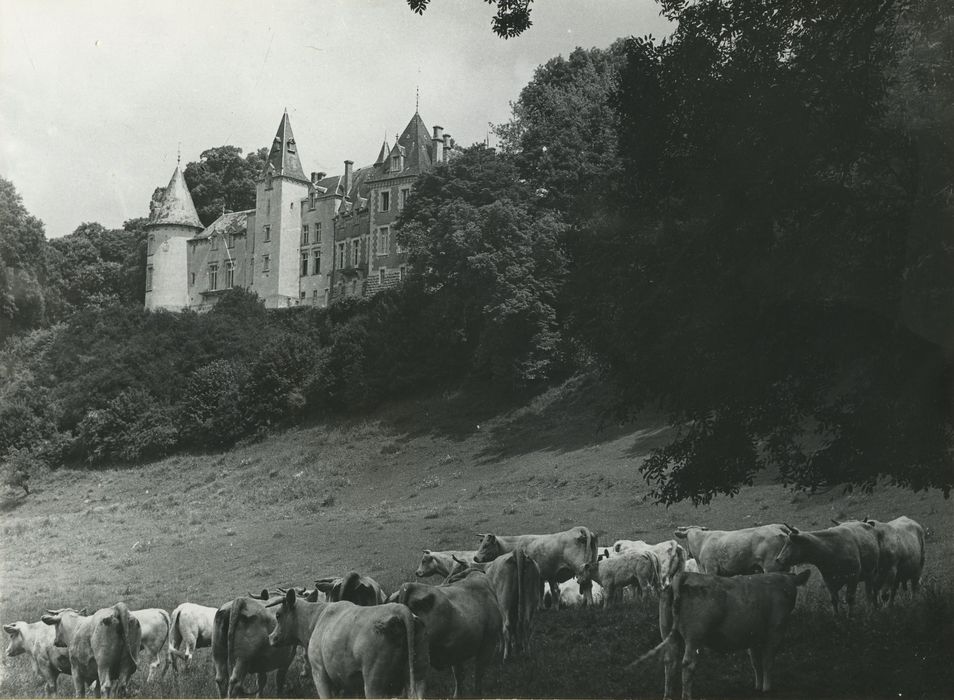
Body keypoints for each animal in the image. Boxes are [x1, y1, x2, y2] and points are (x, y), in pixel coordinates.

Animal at [266, 588, 426, 696]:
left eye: (278, 615)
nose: (271, 638)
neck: (316, 619)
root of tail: (399, 610)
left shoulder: (319, 673)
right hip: (417, 677)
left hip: (374, 684)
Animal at [628, 568, 808, 700]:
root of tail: (684, 574)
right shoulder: (775, 632)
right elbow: (767, 661)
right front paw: (766, 689)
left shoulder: (753, 636)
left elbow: (755, 662)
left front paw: (758, 686)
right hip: (694, 638)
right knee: (688, 664)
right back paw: (686, 696)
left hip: (668, 634)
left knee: (670, 662)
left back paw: (668, 696)